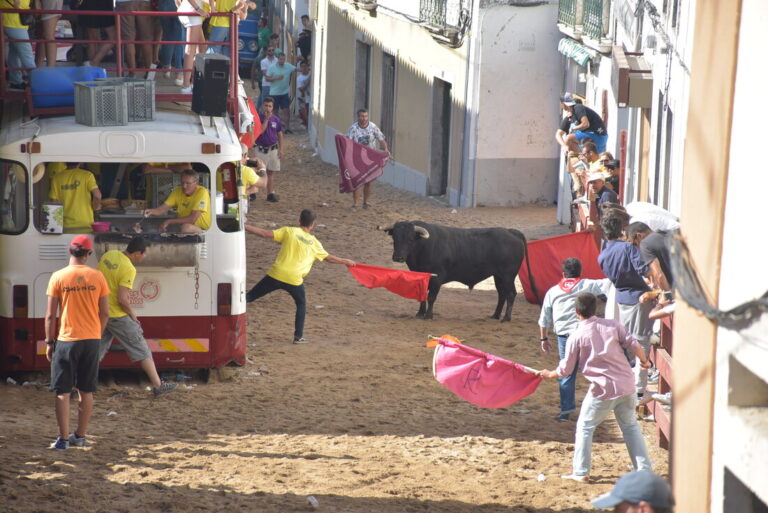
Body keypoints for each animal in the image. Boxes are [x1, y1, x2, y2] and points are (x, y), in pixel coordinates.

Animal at [380, 220, 540, 320]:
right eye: (395, 238)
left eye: (410, 239)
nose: (398, 257)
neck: (424, 245)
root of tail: (511, 231)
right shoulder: (422, 277)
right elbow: (422, 295)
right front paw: (420, 313)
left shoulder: (436, 278)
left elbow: (431, 297)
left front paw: (428, 316)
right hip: (498, 276)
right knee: (502, 295)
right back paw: (495, 315)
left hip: (508, 276)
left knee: (511, 294)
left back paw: (506, 318)